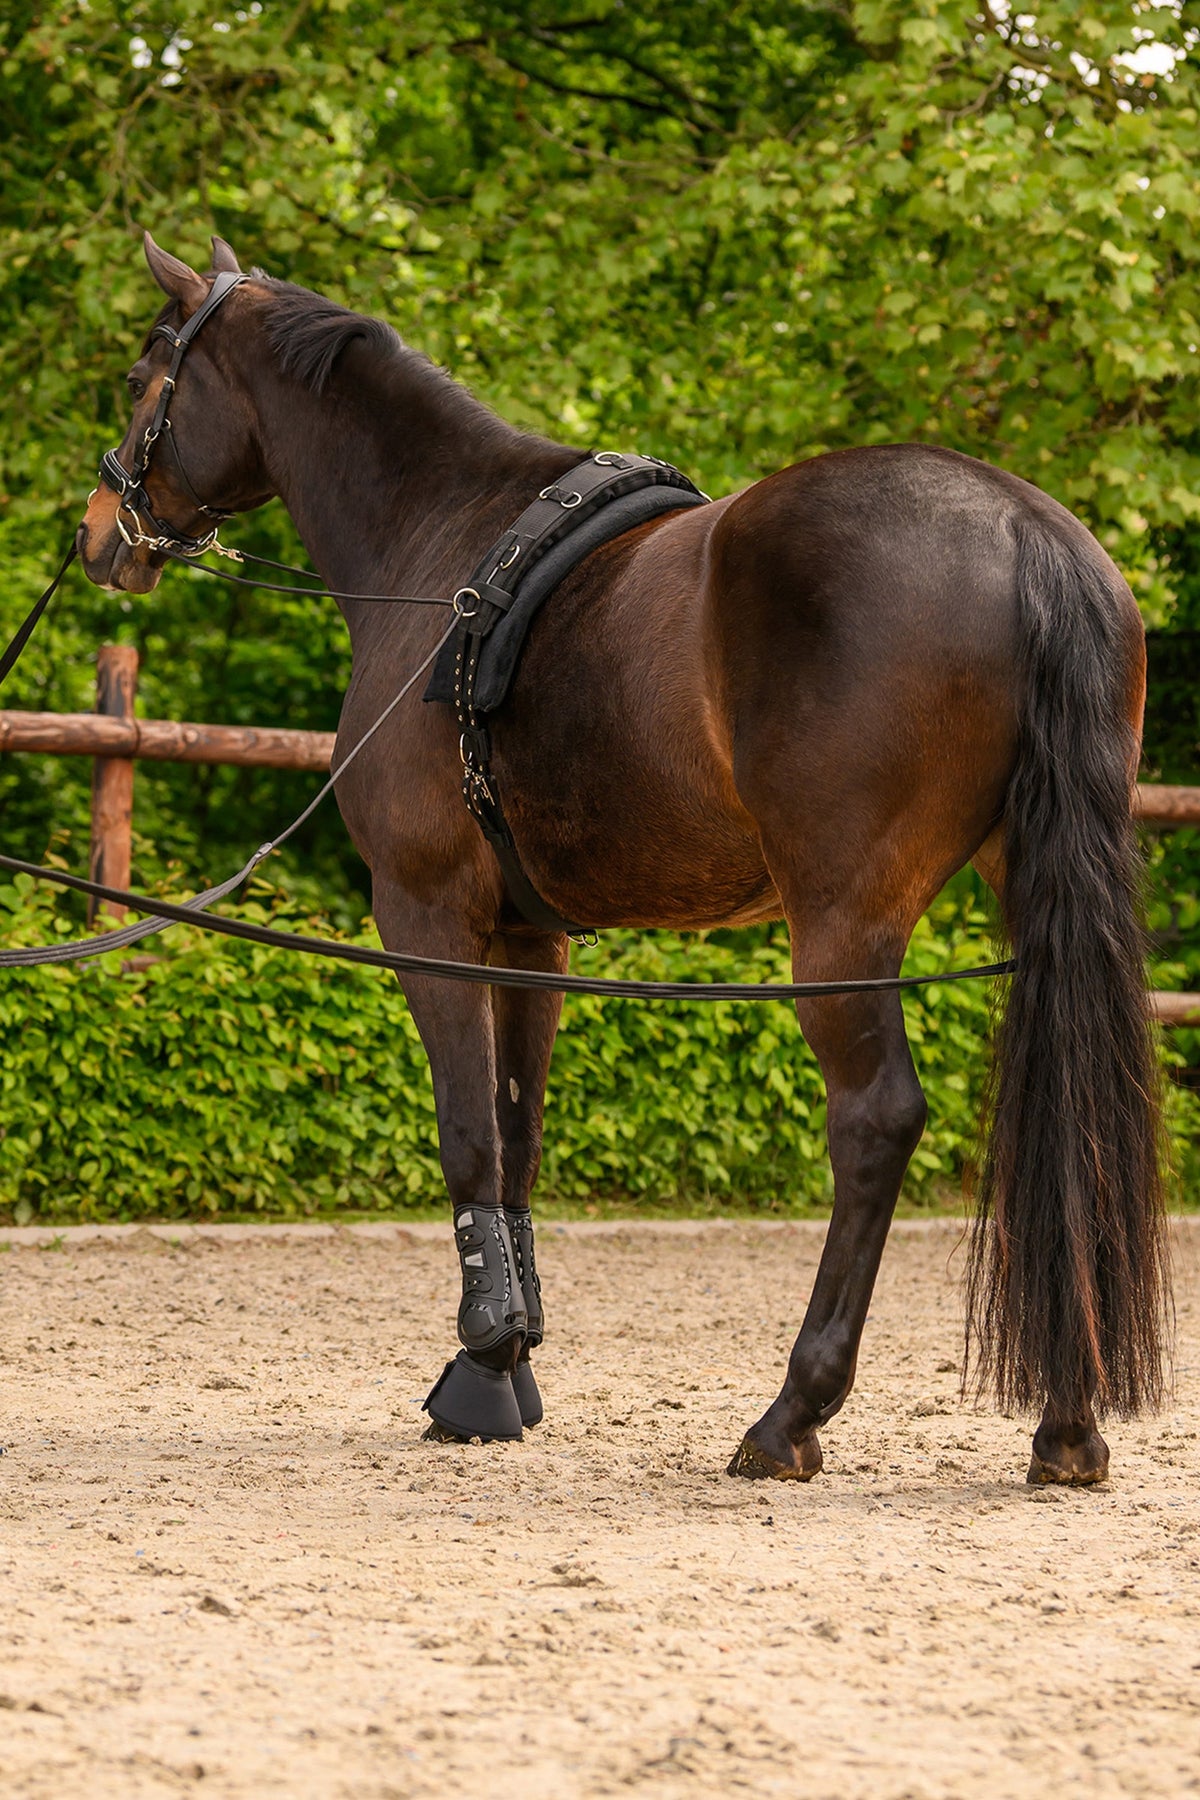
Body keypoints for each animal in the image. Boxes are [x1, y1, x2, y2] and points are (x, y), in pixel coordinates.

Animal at [76, 232, 1169, 1484]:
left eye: (142, 376)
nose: (97, 533)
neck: (440, 538)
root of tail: (1024, 532)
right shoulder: (528, 935)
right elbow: (518, 1139)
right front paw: (513, 1355)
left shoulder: (427, 914)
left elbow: (466, 1136)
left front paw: (481, 1367)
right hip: (1027, 889)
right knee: (1073, 1107)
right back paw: (1067, 1424)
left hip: (842, 923)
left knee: (875, 1121)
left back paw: (791, 1414)